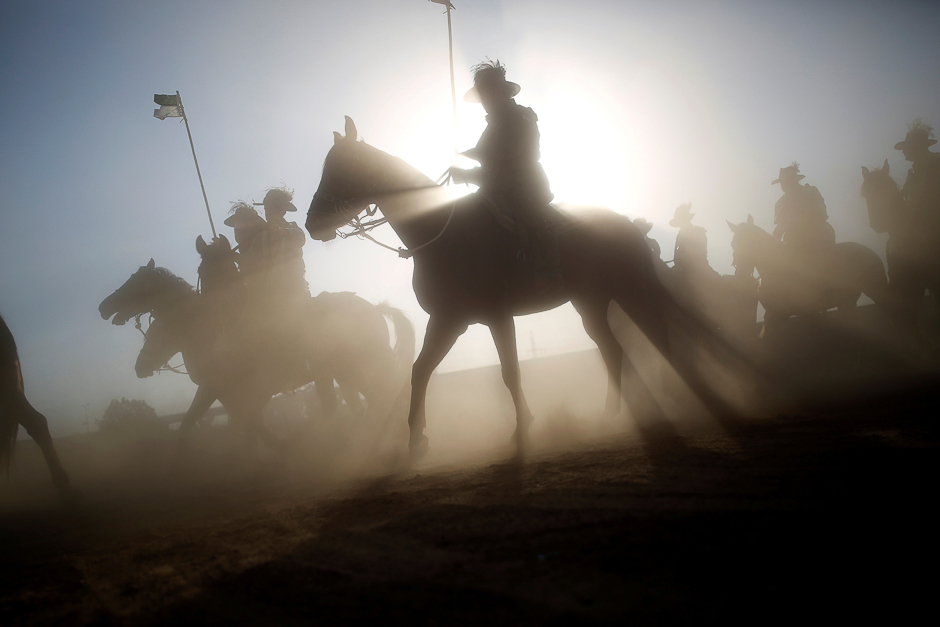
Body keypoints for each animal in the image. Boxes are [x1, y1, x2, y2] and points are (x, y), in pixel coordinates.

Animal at [98, 262, 414, 452]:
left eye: (136, 282)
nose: (104, 307)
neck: (207, 330)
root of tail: (374, 307)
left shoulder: (231, 388)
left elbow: (236, 421)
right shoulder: (225, 392)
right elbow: (240, 423)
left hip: (362, 367)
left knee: (384, 394)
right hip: (345, 373)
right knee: (362, 403)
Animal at [308, 119, 748, 462]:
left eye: (341, 167)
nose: (313, 223)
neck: (443, 236)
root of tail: (626, 222)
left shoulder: (496, 317)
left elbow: (511, 372)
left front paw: (522, 430)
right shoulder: (448, 321)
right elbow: (420, 371)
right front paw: (417, 441)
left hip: (632, 289)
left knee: (658, 337)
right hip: (592, 303)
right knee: (614, 348)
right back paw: (612, 413)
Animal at [728, 216, 888, 344]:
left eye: (751, 242)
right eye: (733, 244)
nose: (741, 274)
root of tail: (871, 253)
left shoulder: (799, 313)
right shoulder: (774, 315)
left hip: (874, 292)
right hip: (847, 303)